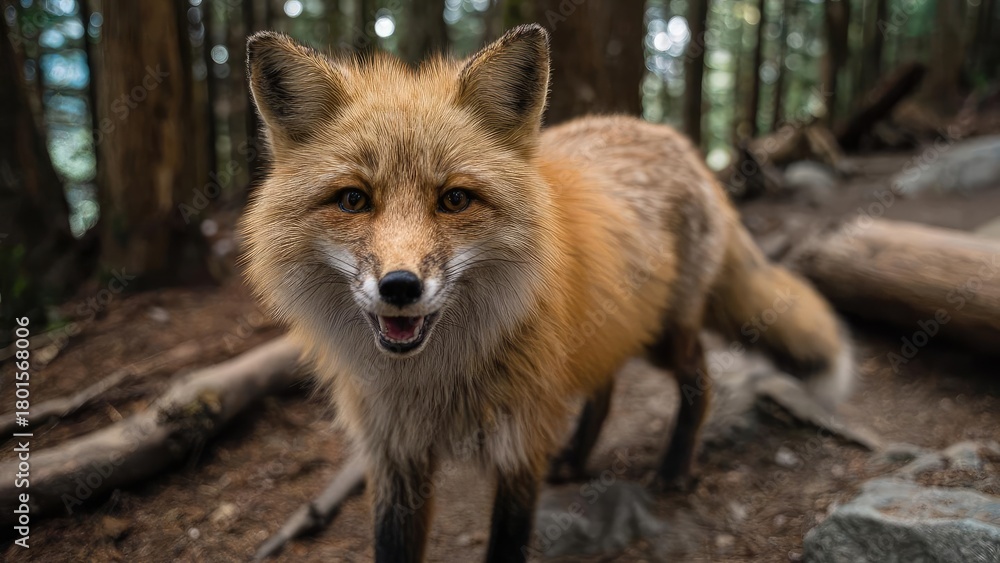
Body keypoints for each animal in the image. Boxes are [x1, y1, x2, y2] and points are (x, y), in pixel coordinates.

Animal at [240, 24, 853, 563]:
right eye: (353, 200)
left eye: (455, 199)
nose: (399, 287)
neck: (435, 381)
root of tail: (678, 142)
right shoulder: (394, 456)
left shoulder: (520, 443)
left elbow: (507, 543)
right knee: (605, 387)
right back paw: (578, 457)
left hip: (662, 333)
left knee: (698, 380)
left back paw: (675, 467)